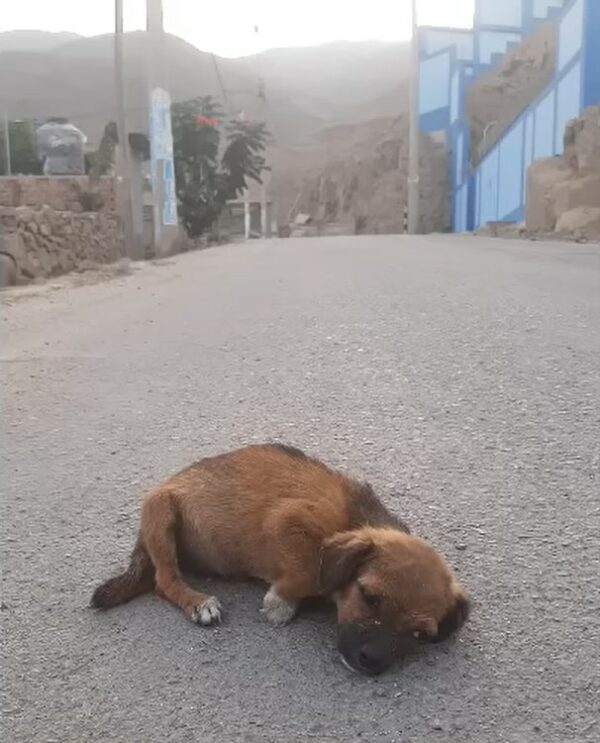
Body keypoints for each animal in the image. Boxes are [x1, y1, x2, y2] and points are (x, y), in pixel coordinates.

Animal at [92, 444, 468, 676]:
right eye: (369, 597)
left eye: (418, 634)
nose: (370, 661)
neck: (352, 521)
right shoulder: (285, 520)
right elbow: (311, 570)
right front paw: (281, 603)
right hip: (161, 510)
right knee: (164, 580)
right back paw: (198, 602)